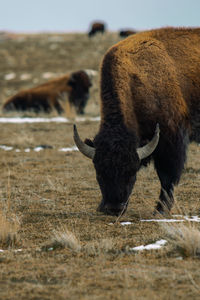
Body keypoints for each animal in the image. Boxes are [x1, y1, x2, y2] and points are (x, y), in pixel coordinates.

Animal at [73, 27, 200, 216]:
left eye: (132, 172)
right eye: (99, 172)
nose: (114, 208)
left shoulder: (172, 141)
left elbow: (167, 177)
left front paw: (160, 210)